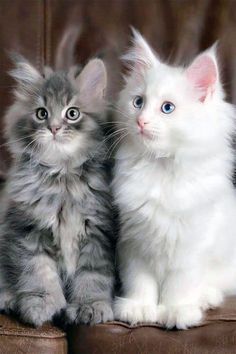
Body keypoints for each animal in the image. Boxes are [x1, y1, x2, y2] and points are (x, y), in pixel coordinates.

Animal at [0, 54, 114, 326]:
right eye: (41, 113)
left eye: (72, 113)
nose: (53, 128)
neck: (63, 176)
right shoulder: (26, 230)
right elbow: (38, 272)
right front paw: (41, 305)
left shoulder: (99, 235)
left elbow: (92, 276)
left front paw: (89, 306)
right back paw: (9, 297)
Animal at [112, 29, 236, 330]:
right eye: (138, 102)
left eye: (167, 108)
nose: (141, 121)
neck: (160, 169)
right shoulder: (135, 241)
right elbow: (140, 281)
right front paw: (139, 309)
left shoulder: (190, 246)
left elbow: (179, 285)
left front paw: (174, 312)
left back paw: (205, 299)